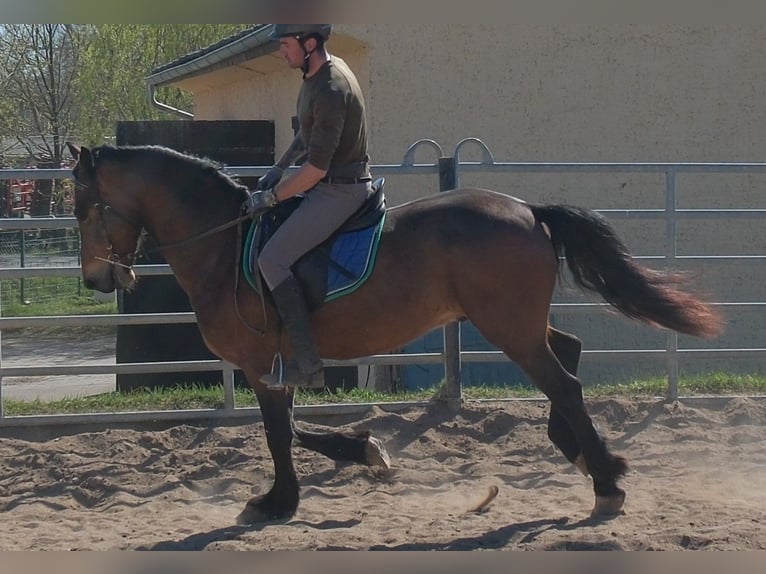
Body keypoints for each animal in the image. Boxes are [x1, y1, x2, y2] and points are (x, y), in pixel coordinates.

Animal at [65, 142, 723, 525]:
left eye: (80, 205)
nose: (95, 278)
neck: (225, 245)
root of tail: (529, 210)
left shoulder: (260, 364)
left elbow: (279, 435)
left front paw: (278, 501)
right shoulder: (278, 367)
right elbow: (295, 431)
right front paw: (366, 451)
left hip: (508, 326)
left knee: (563, 383)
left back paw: (605, 481)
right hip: (519, 323)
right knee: (570, 356)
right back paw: (584, 455)